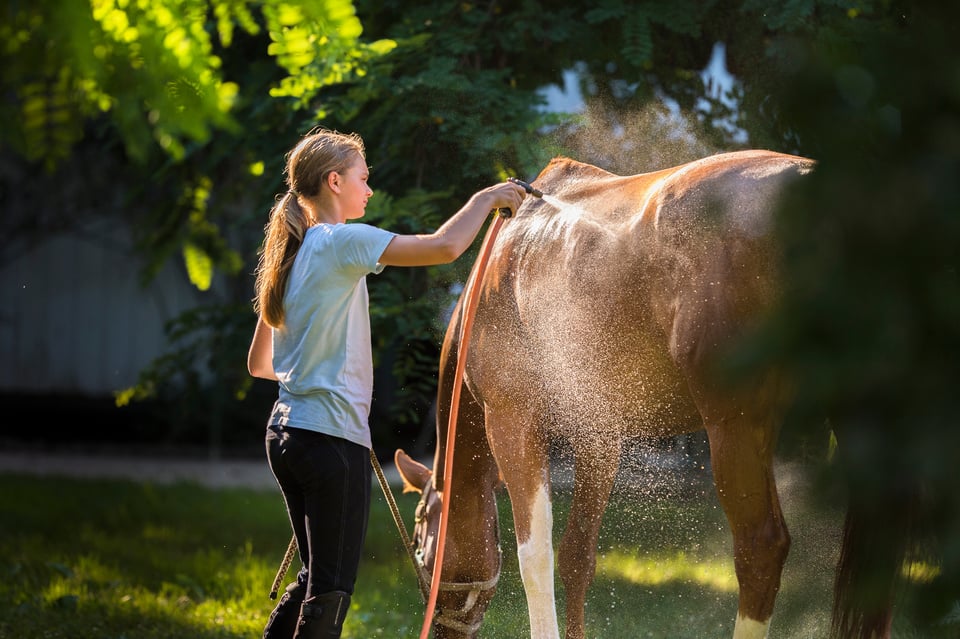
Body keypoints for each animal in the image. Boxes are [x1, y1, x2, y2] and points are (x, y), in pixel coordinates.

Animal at [394, 151, 888, 639]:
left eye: (419, 539)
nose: (438, 627)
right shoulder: (598, 437)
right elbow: (577, 558)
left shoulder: (512, 423)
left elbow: (535, 558)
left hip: (737, 427)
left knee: (761, 547)